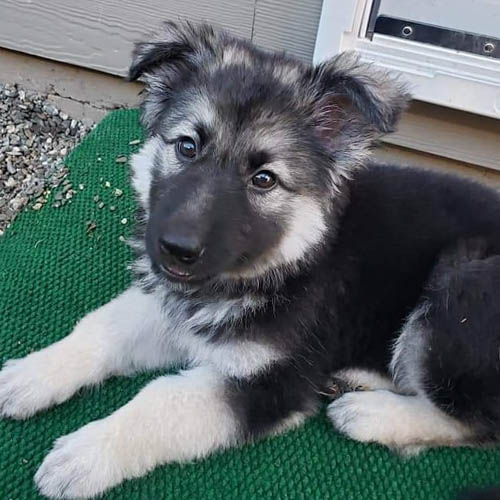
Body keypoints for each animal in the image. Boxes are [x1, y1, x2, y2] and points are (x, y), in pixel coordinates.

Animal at [0, 22, 500, 496]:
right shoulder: (175, 311)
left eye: (264, 179)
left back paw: (371, 413)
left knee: (478, 423)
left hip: (462, 285)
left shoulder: (269, 382)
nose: (175, 248)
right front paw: (32, 372)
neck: (281, 266)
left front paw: (88, 453)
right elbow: (101, 328)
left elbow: (162, 400)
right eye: (187, 146)